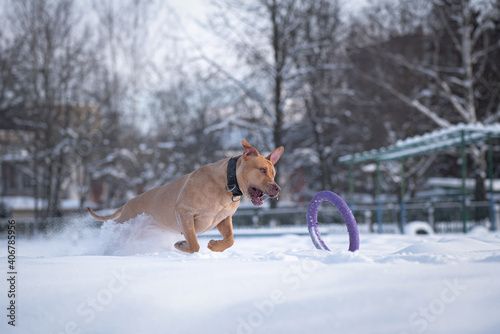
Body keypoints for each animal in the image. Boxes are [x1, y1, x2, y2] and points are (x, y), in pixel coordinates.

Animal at [87, 140, 284, 253]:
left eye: (273, 173)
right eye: (262, 170)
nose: (278, 188)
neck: (228, 184)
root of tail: (127, 202)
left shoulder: (223, 219)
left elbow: (230, 240)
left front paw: (215, 245)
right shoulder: (184, 213)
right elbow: (194, 245)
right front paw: (182, 246)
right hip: (125, 228)